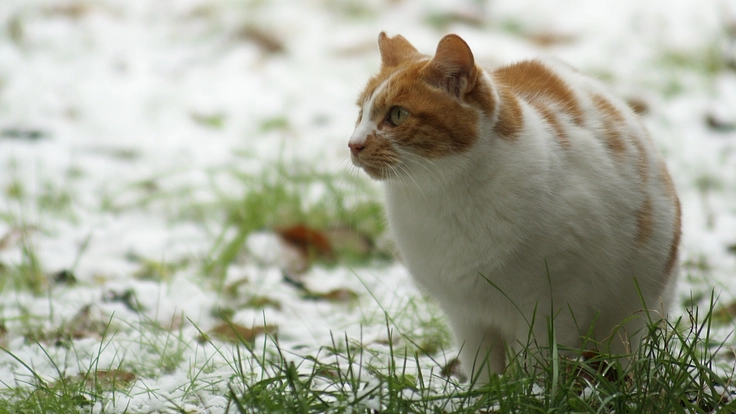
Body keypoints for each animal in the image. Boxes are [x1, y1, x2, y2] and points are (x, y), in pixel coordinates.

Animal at [348, 31, 680, 382]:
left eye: (397, 115)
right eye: (360, 113)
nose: (353, 144)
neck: (445, 198)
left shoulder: (550, 311)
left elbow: (538, 370)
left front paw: (533, 390)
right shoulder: (466, 317)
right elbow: (483, 373)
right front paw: (484, 394)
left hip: (631, 316)